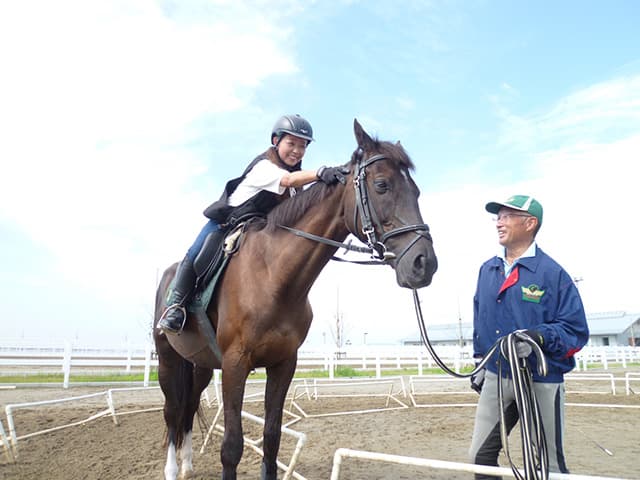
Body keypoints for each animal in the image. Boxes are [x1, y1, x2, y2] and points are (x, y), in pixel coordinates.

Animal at [152, 120, 438, 480]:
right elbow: (231, 445)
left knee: (188, 407)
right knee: (172, 410)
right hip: (168, 359)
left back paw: (188, 462)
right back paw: (172, 468)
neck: (273, 275)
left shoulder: (283, 363)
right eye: (382, 185)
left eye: (416, 192)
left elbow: (272, 438)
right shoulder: (235, 364)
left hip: (200, 363)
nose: (424, 263)